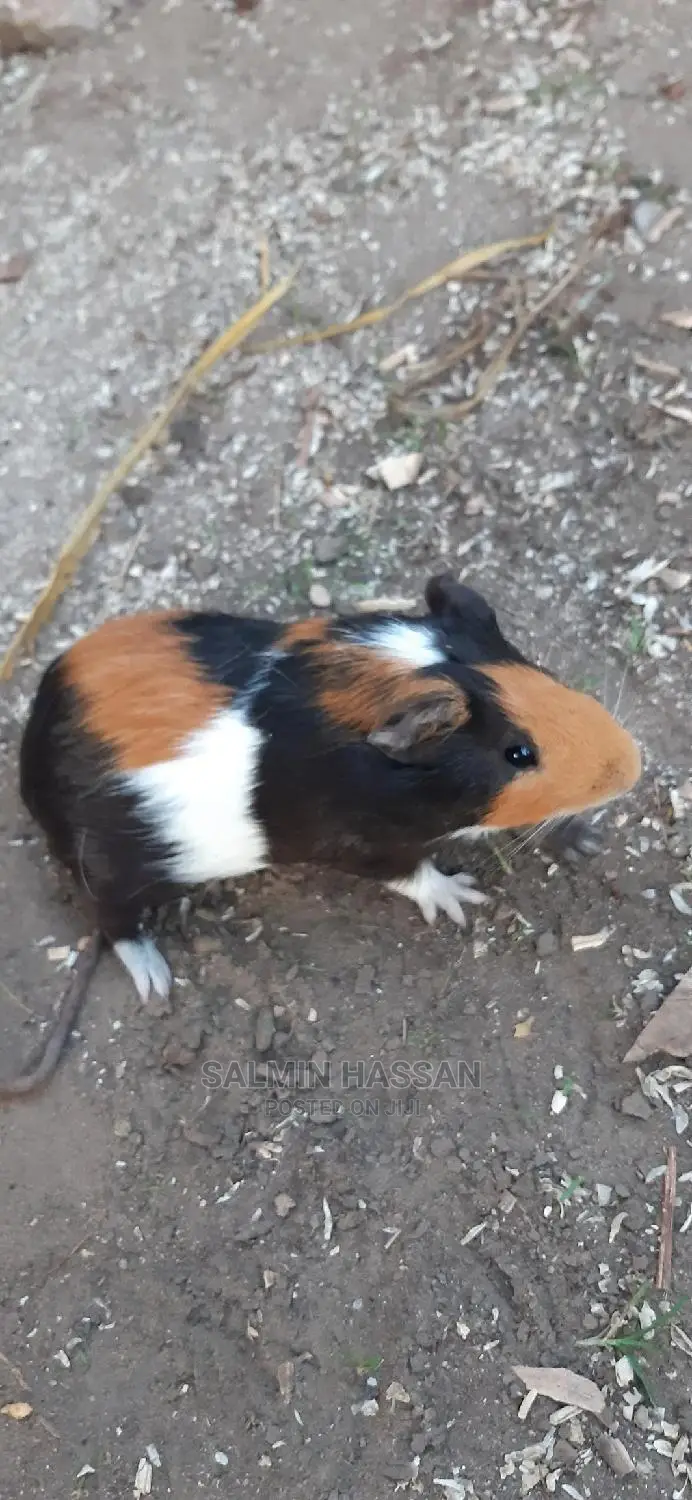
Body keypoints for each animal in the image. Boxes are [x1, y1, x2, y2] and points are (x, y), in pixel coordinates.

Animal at [1, 573, 640, 1100]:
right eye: (519, 753)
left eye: (546, 677)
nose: (631, 765)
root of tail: (34, 751)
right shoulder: (362, 845)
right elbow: (416, 874)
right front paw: (462, 899)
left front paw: (583, 841)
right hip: (118, 875)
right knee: (117, 926)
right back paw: (158, 982)